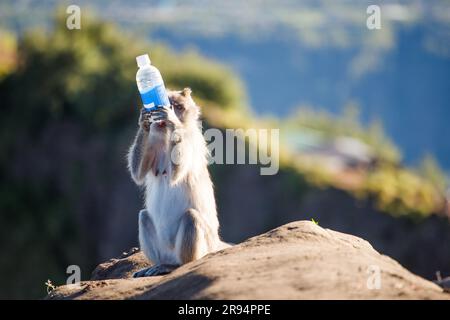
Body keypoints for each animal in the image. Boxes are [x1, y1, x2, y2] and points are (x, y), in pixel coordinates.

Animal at [127, 87, 230, 278]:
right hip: (164, 250)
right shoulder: (153, 141)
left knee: (191, 217)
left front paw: (171, 120)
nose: (169, 112)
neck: (166, 137)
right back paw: (158, 264)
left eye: (178, 107)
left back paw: (175, 266)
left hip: (203, 247)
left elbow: (177, 173)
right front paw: (144, 120)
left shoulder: (192, 140)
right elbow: (138, 174)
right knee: (143, 216)